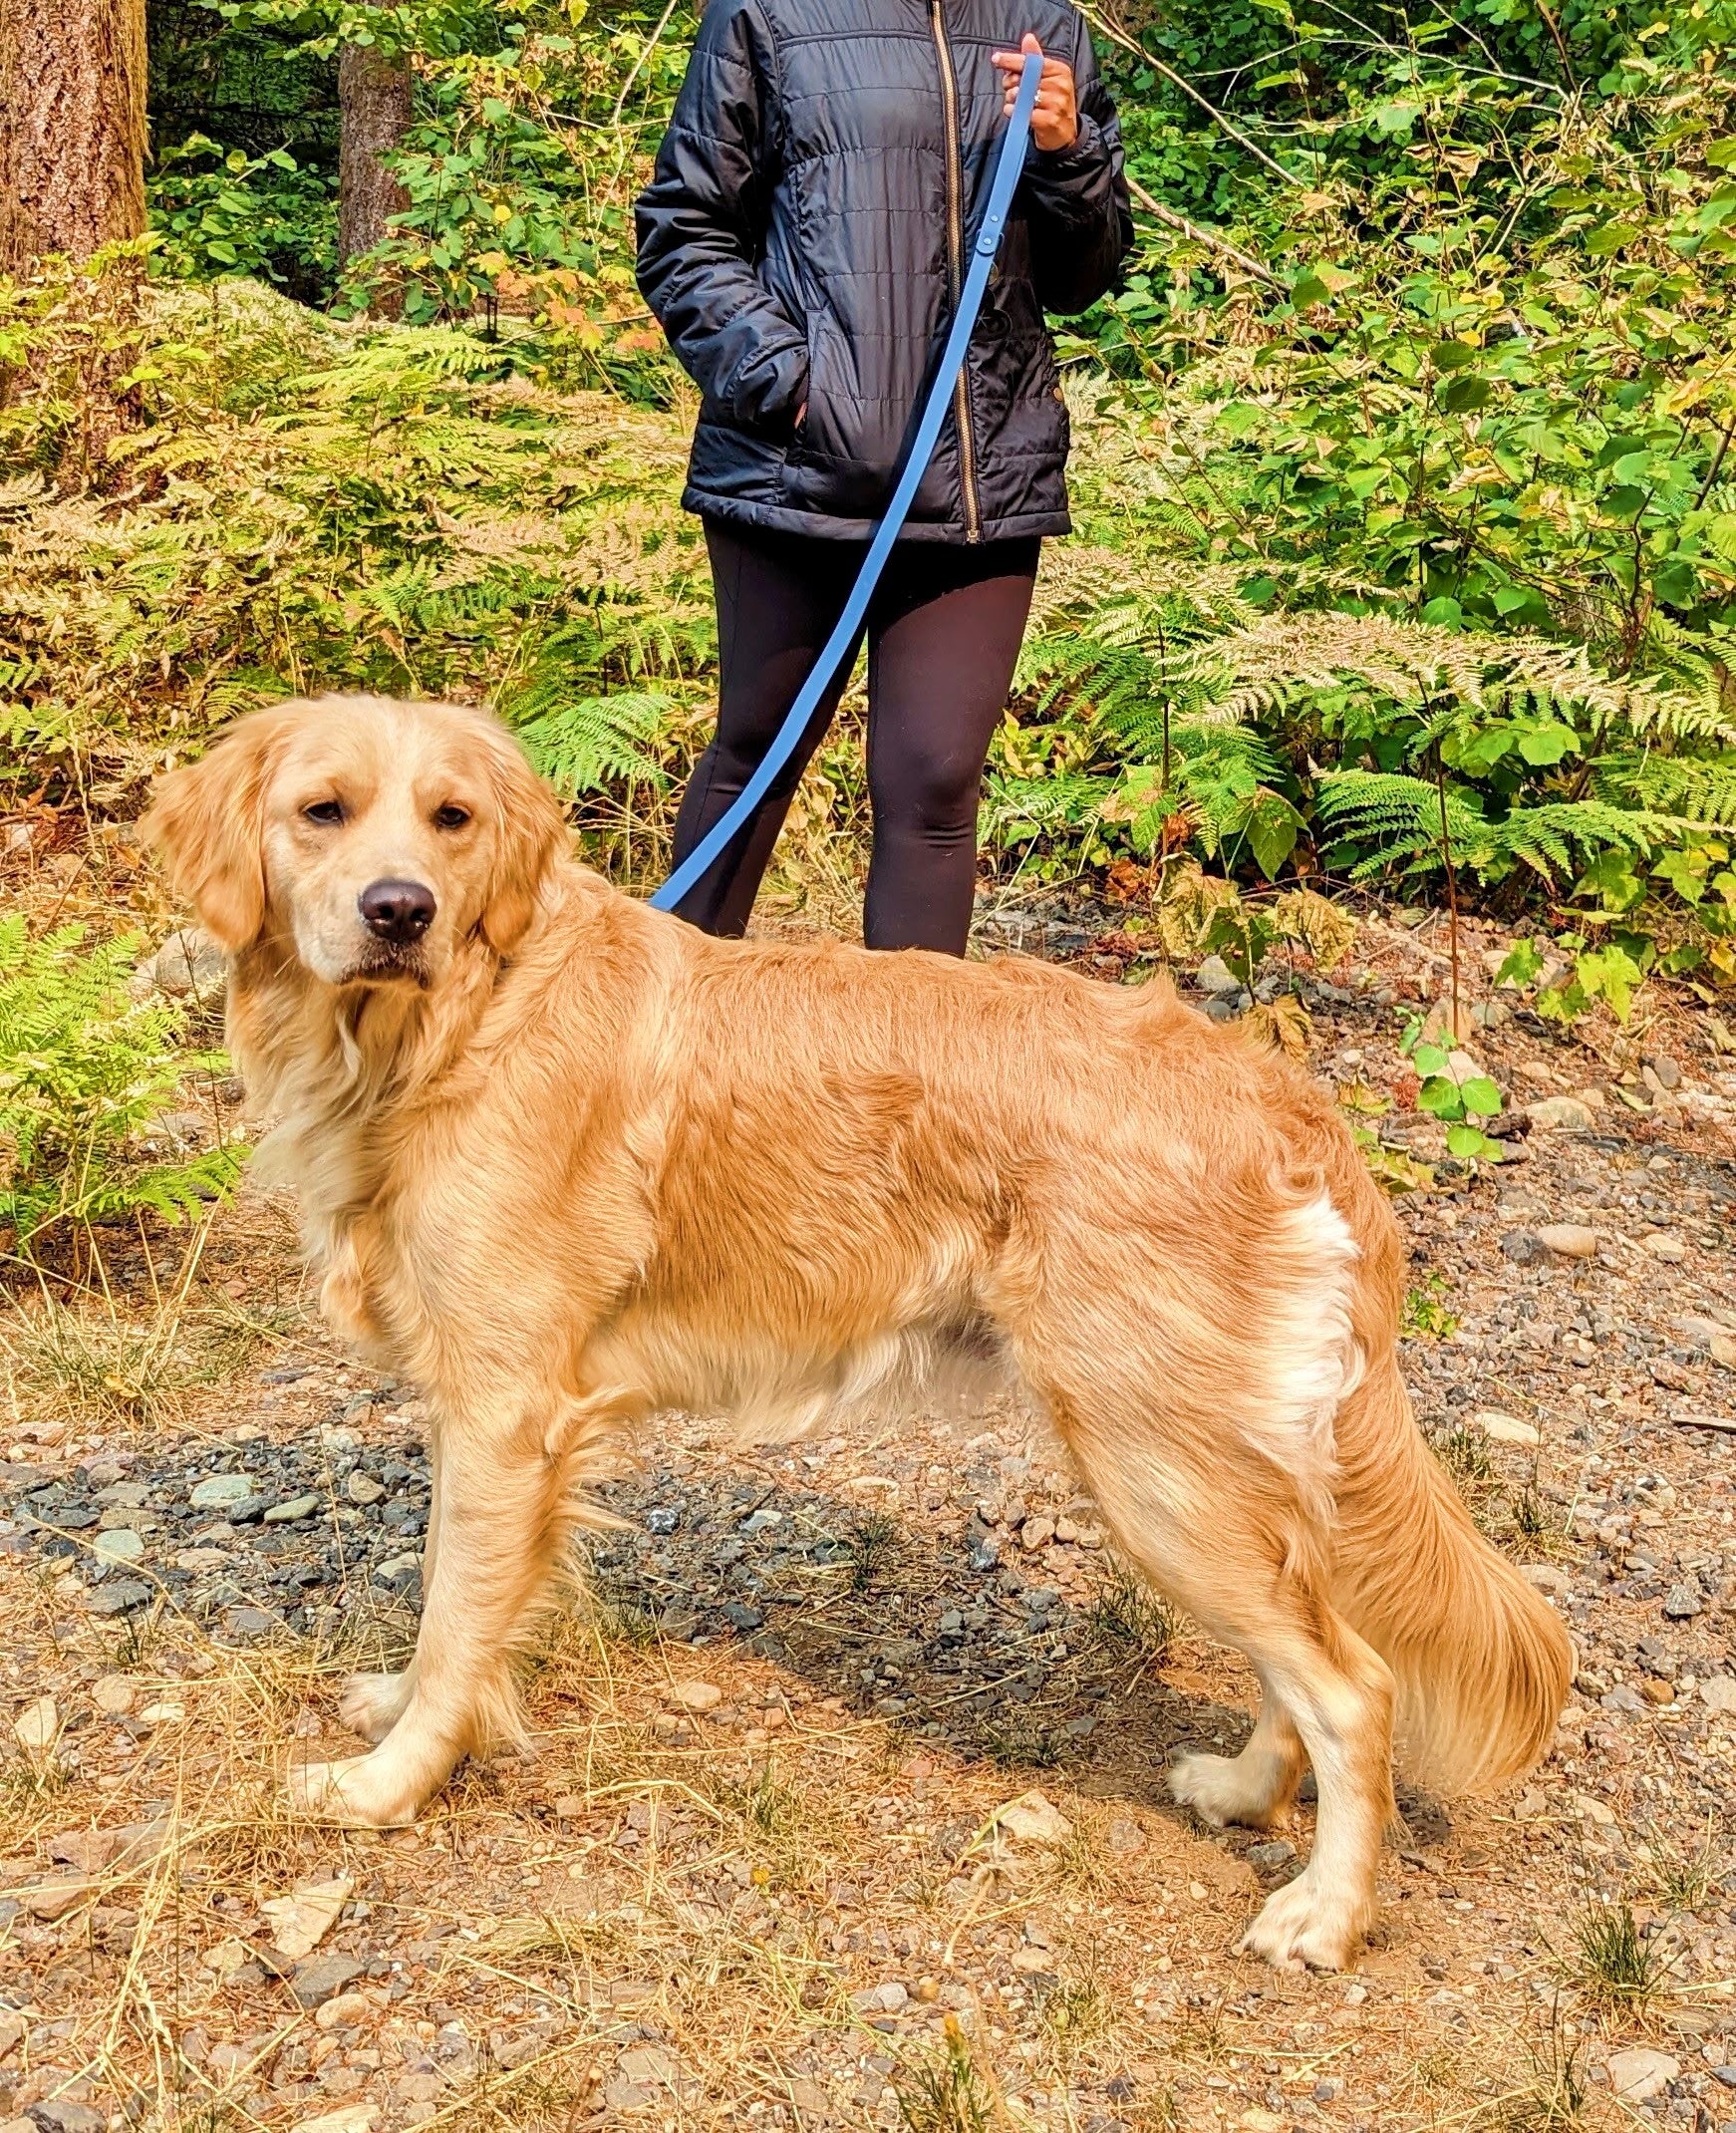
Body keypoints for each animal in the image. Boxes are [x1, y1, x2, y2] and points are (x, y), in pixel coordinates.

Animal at [143, 695, 1570, 1962]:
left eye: (452, 819)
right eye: (321, 812)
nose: (401, 912)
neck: (445, 1029)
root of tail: (1285, 1095)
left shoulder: (506, 1412)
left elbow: (455, 1620)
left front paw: (388, 1783)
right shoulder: (472, 1404)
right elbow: (449, 1587)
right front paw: (398, 1710)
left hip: (1158, 1470)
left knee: (1352, 1686)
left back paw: (1322, 1912)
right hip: (1206, 1468)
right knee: (1304, 1652)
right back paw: (1241, 1792)